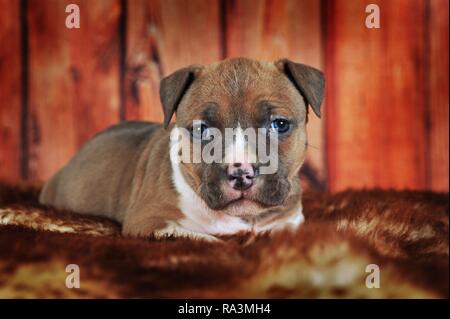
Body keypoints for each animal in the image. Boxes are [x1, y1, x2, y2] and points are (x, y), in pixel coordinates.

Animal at [39, 58, 324, 241]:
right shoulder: (149, 221)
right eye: (201, 129)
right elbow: (206, 240)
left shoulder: (290, 221)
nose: (241, 173)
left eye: (279, 124)